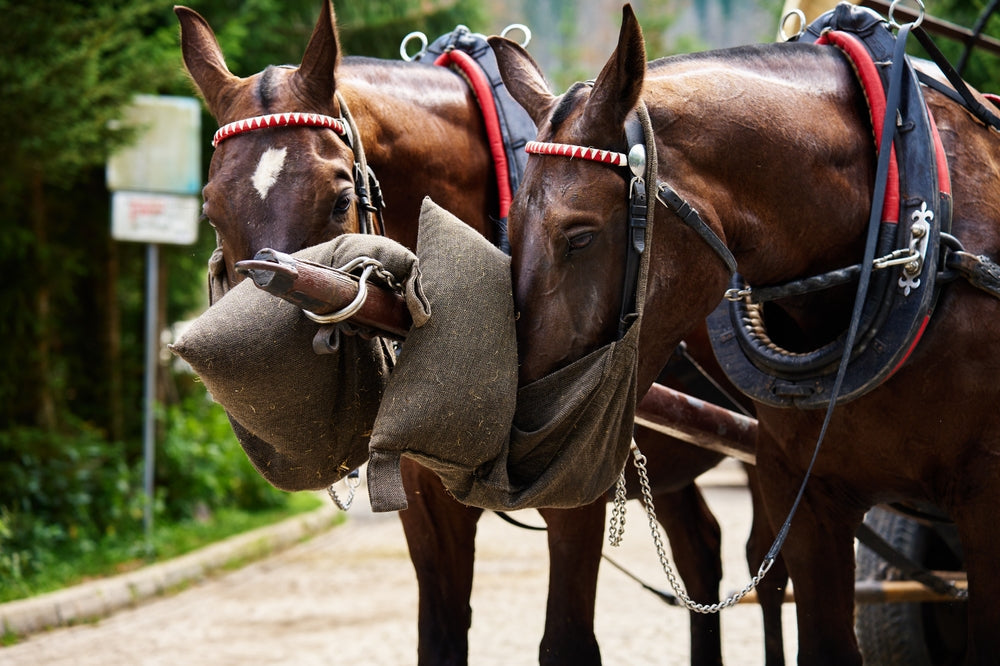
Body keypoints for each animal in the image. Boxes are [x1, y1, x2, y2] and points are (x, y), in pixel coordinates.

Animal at [176, 3, 788, 663]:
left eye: (340, 198)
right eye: (211, 210)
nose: (275, 396)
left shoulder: (575, 488)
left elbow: (567, 641)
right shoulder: (428, 511)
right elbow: (440, 636)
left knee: (769, 567)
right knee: (701, 551)